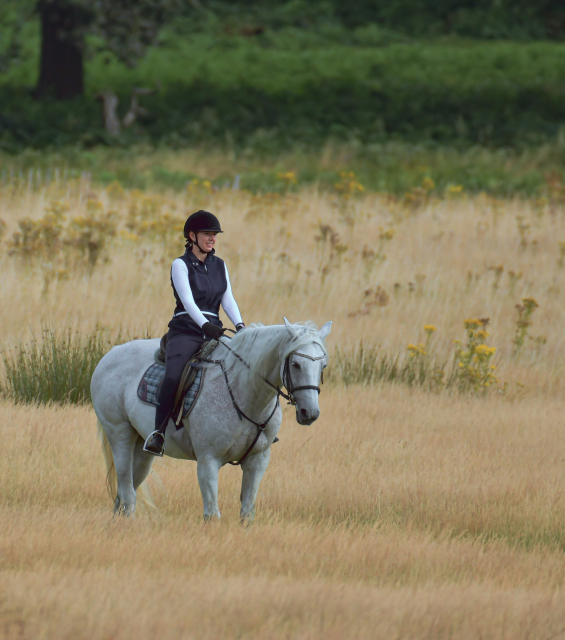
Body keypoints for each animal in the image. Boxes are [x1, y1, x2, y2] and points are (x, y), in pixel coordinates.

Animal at [91, 318, 332, 521]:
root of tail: (108, 356)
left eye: (323, 366)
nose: (309, 413)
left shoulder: (258, 461)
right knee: (127, 491)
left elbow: (247, 512)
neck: (244, 392)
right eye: (296, 364)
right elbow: (212, 514)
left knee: (125, 493)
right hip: (119, 436)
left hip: (142, 447)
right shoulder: (208, 460)